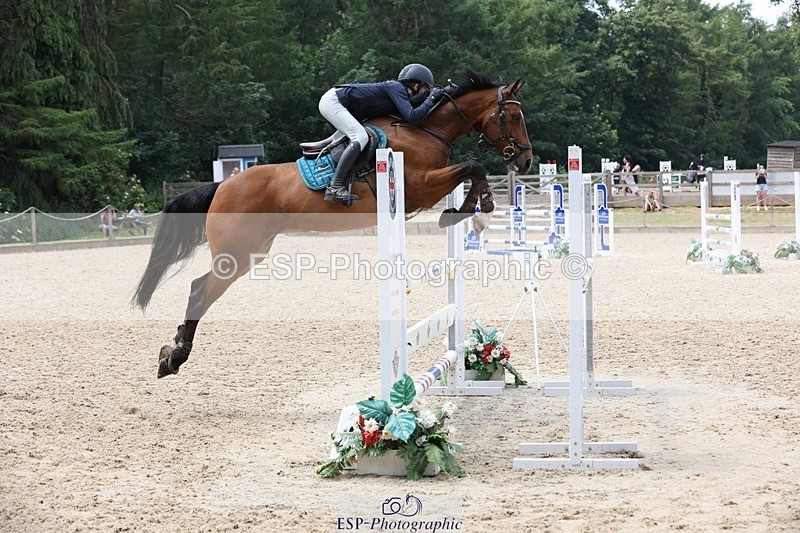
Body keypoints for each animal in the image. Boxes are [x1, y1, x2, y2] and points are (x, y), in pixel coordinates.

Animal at [133, 69, 533, 378]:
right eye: (514, 118)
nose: (526, 161)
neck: (426, 129)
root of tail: (223, 185)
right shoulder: (420, 187)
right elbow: (473, 166)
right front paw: (475, 207)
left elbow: (472, 170)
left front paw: (467, 207)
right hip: (237, 253)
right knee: (200, 291)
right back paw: (175, 357)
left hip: (251, 252)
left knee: (199, 287)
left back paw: (173, 351)